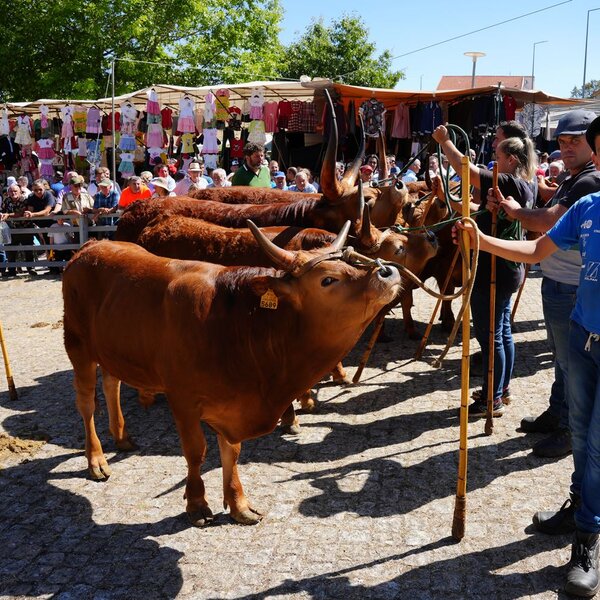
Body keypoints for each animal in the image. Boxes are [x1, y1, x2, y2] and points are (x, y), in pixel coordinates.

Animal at [63, 225, 400, 524]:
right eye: (328, 279)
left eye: (348, 263)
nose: (387, 272)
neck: (232, 324)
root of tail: (92, 246)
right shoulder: (182, 399)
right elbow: (196, 452)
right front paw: (197, 504)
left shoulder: (233, 404)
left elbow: (232, 452)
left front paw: (239, 505)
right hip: (77, 345)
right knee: (86, 404)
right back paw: (96, 460)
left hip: (112, 349)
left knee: (112, 383)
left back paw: (121, 437)